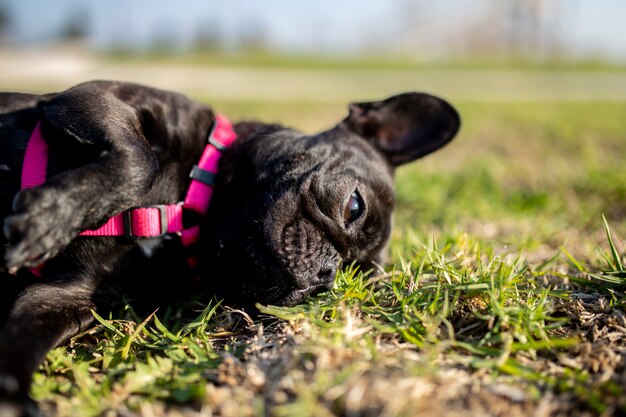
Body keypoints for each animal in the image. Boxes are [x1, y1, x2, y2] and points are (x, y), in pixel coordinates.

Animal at [0, 80, 458, 412]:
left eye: (347, 278)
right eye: (354, 206)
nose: (325, 277)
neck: (189, 211)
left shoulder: (66, 297)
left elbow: (21, 345)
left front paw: (14, 399)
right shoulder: (95, 101)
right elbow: (139, 160)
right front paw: (48, 219)